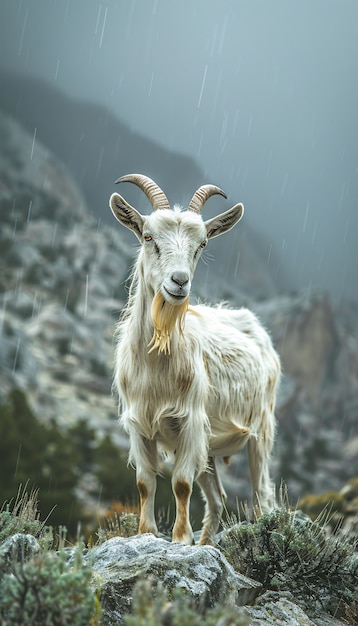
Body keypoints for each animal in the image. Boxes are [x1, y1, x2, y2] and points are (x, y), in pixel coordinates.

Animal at [109, 173, 280, 544]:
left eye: (201, 244)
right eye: (148, 237)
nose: (179, 281)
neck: (157, 365)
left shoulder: (189, 422)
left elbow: (181, 484)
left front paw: (180, 540)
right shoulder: (139, 425)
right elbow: (145, 483)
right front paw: (146, 534)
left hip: (261, 429)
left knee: (262, 495)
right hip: (210, 447)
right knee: (217, 498)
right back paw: (207, 544)